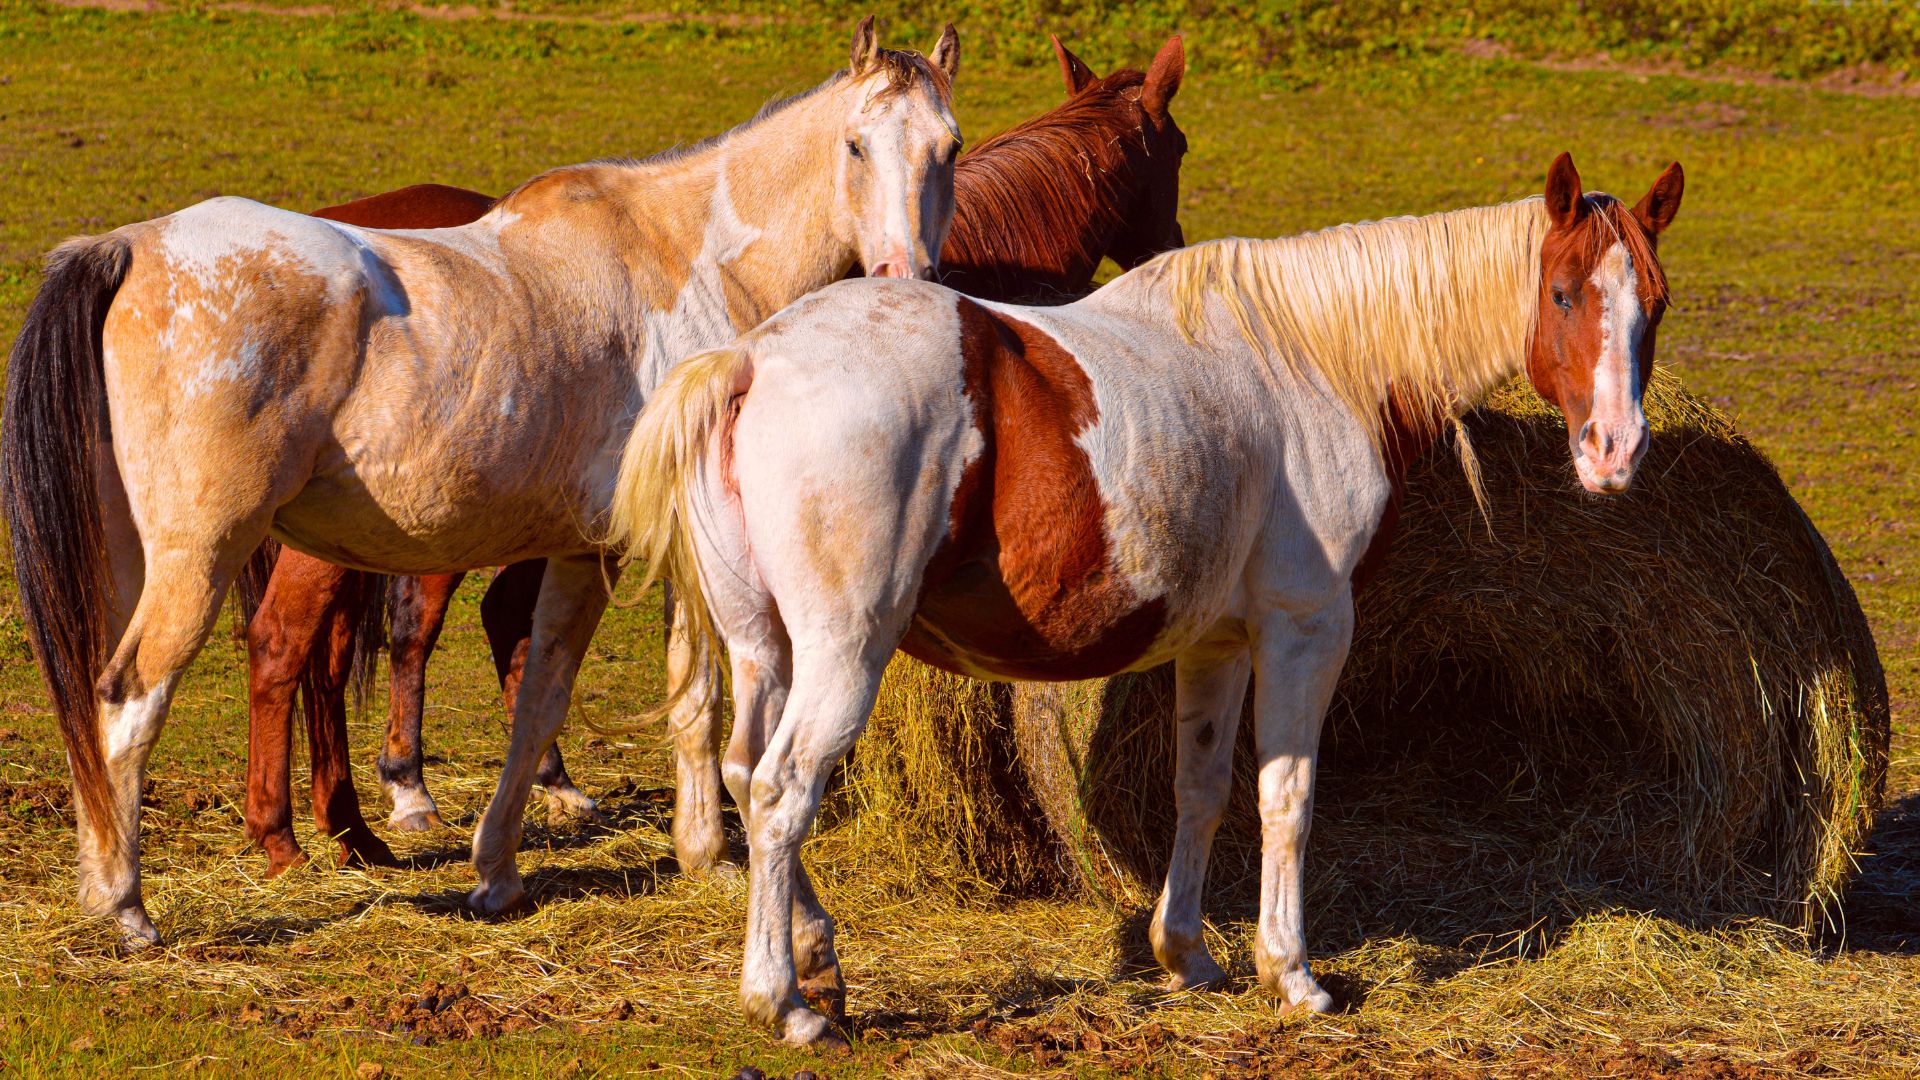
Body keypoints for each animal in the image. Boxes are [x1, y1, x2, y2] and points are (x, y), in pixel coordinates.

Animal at [0, 16, 960, 941]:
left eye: (946, 146)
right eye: (855, 146)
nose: (904, 279)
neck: (693, 259)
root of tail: (129, 246)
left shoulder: (581, 552)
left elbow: (541, 696)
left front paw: (497, 870)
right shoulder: (684, 551)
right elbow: (695, 696)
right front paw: (707, 855)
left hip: (137, 562)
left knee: (101, 703)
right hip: (199, 557)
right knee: (132, 699)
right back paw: (129, 908)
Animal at [606, 151, 1689, 1037]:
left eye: (1657, 300)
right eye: (1562, 293)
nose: (1616, 452)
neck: (1311, 358)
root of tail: (752, 360)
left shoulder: (1217, 644)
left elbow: (1201, 791)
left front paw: (1190, 954)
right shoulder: (1306, 630)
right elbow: (1287, 795)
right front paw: (1292, 972)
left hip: (765, 648)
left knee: (743, 773)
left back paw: (816, 954)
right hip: (843, 652)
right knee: (782, 791)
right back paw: (783, 1001)